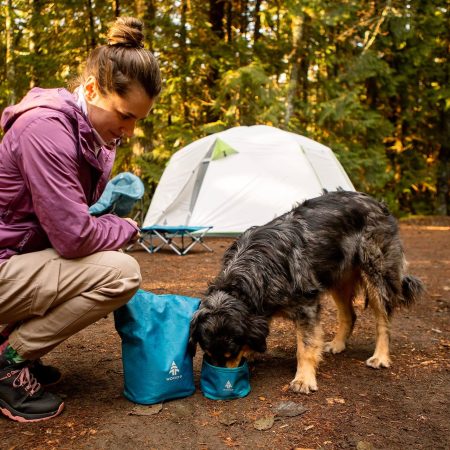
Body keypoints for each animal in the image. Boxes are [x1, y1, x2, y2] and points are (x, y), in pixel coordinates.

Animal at [190, 190, 426, 394]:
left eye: (231, 352)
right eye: (208, 354)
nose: (223, 384)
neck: (255, 270)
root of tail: (376, 202)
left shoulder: (307, 306)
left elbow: (305, 347)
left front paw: (303, 379)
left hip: (377, 275)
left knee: (383, 320)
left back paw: (381, 356)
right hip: (337, 278)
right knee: (349, 314)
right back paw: (338, 344)